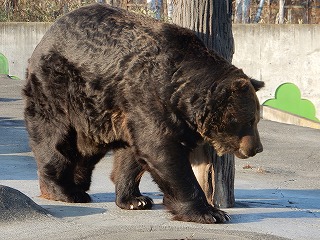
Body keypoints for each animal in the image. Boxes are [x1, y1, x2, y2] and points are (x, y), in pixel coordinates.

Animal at [21, 3, 262, 224]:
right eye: (250, 120)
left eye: (256, 119)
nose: (257, 148)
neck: (179, 91)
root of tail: (45, 37)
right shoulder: (148, 97)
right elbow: (162, 152)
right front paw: (210, 212)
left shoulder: (132, 111)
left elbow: (133, 154)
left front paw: (135, 199)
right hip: (58, 89)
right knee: (55, 138)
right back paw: (66, 191)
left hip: (93, 115)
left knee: (86, 151)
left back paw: (78, 183)